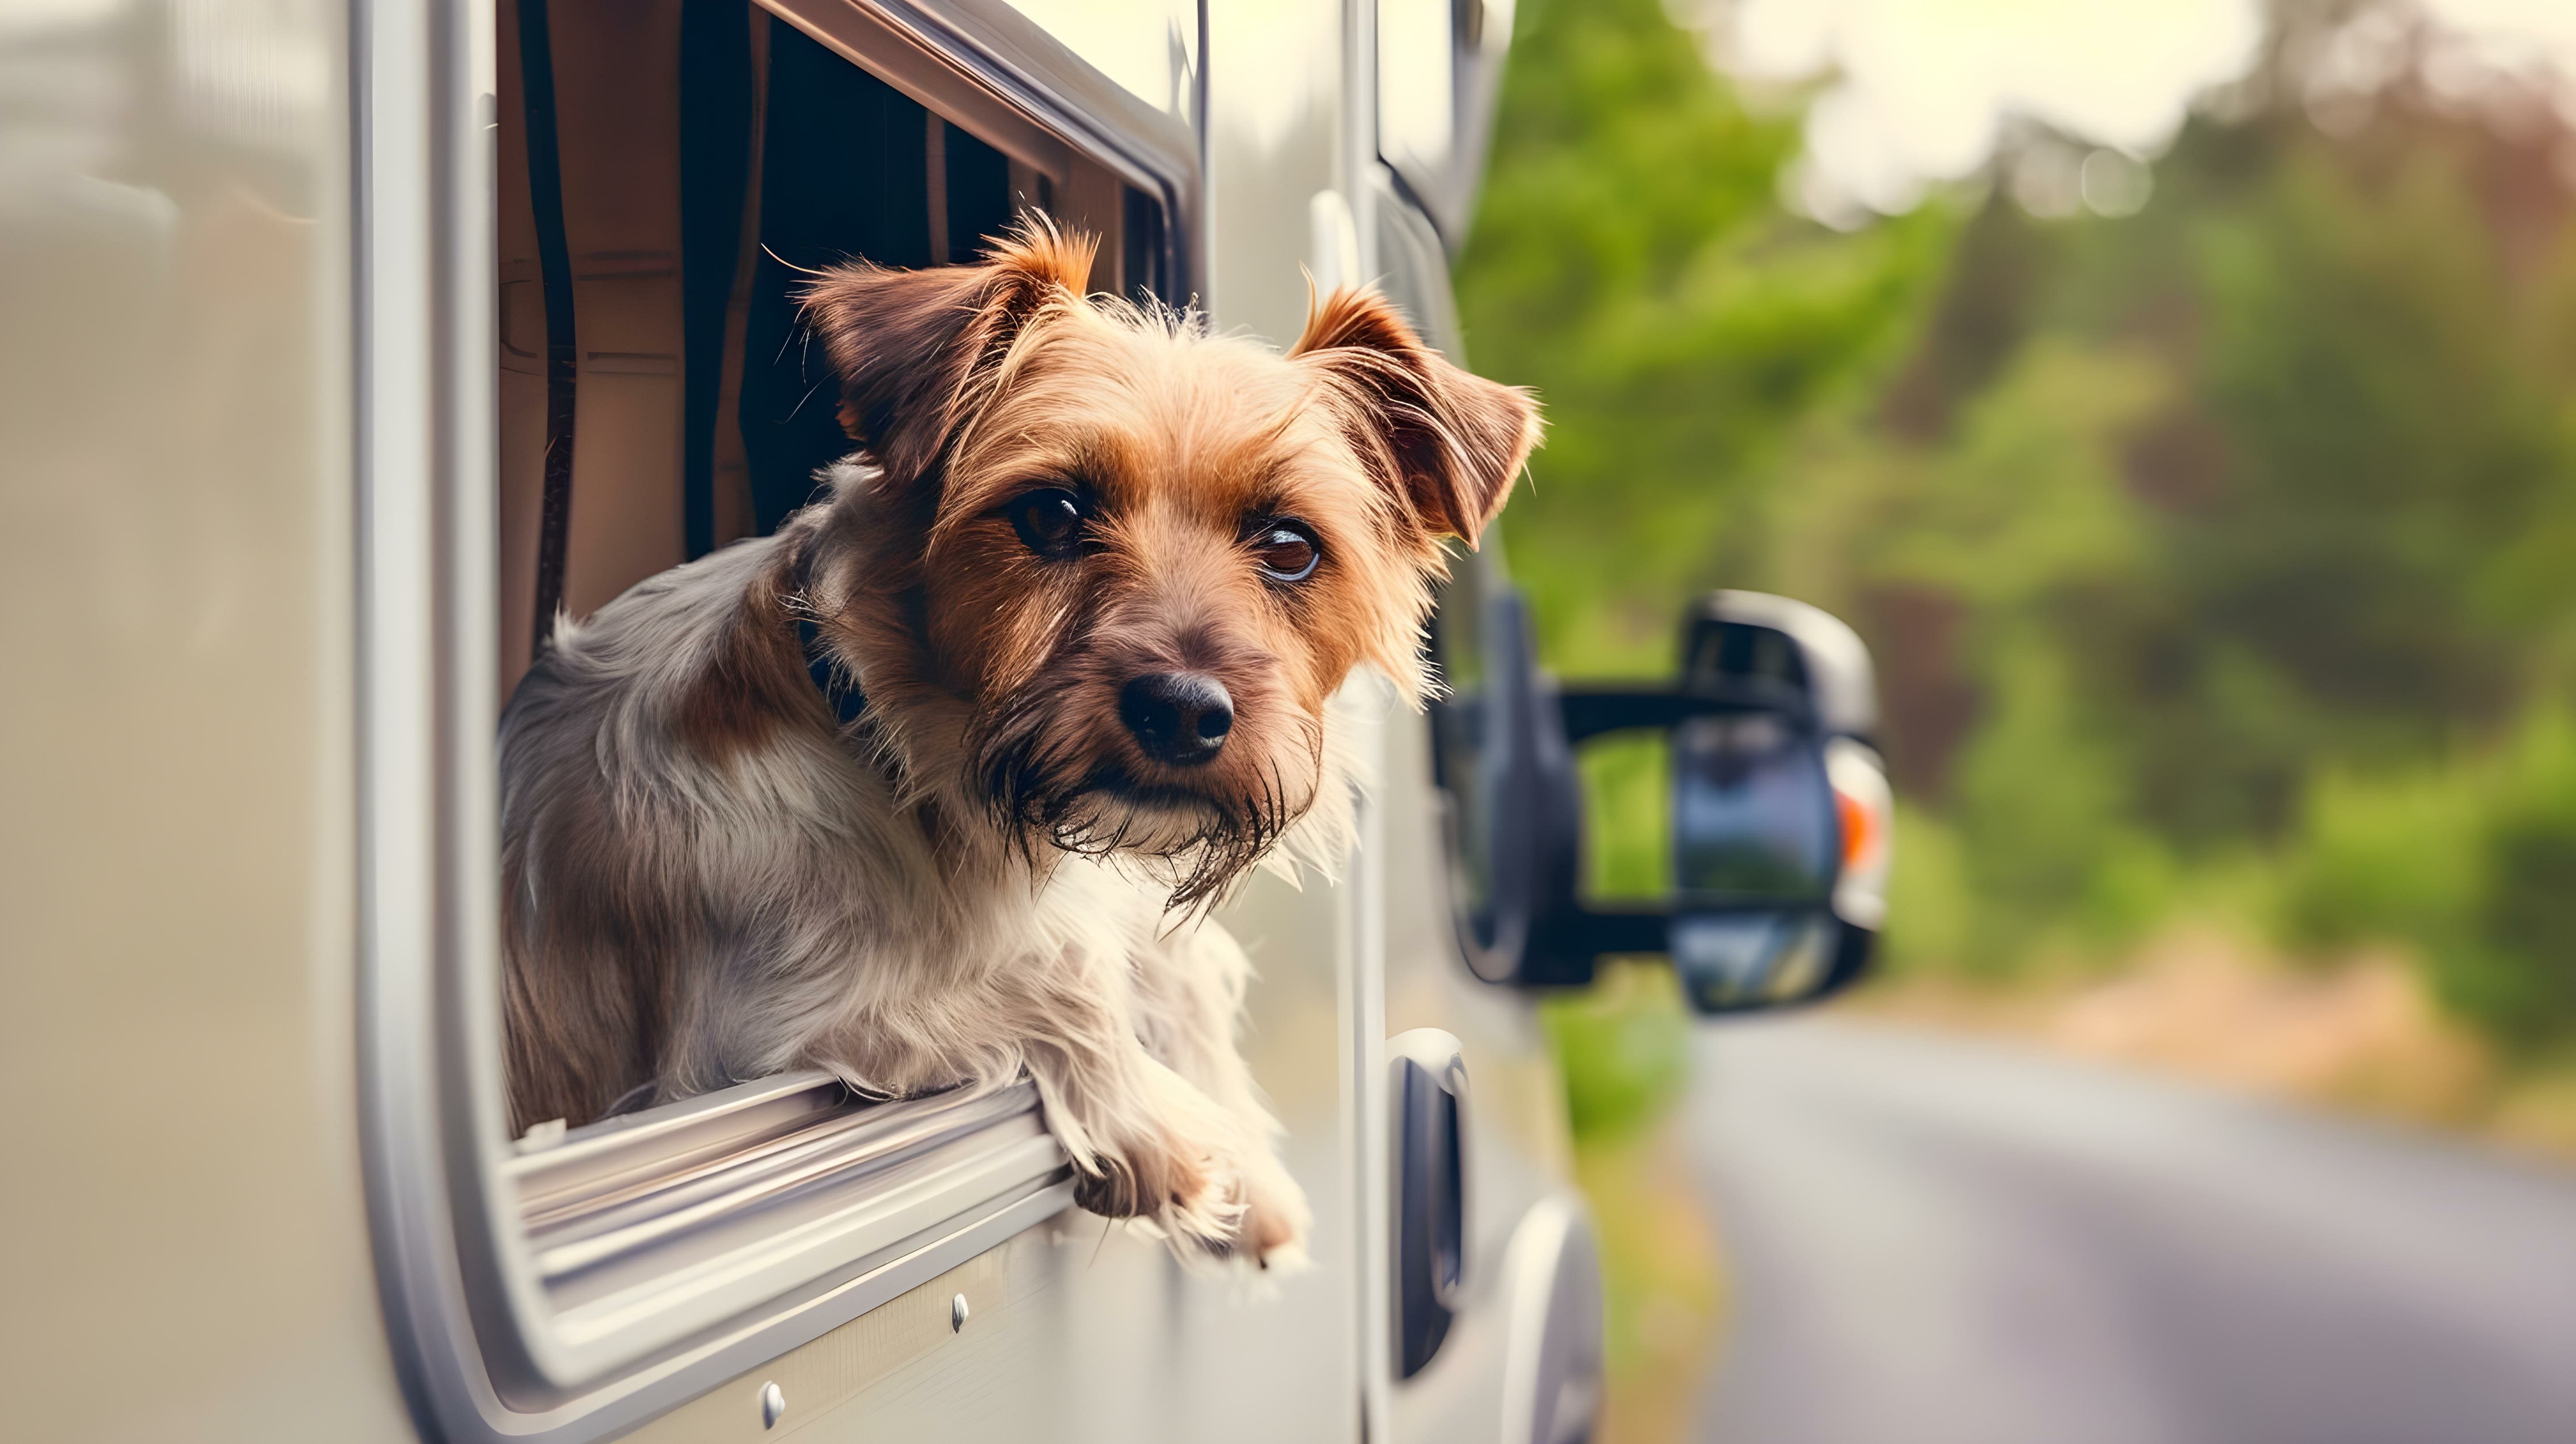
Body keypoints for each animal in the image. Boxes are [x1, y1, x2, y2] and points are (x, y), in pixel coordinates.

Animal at [505, 226, 1545, 1264]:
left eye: (1291, 546)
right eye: (1050, 513)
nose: (1181, 711)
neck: (893, 745)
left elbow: (1157, 958)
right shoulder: (752, 1034)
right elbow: (1056, 974)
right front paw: (1163, 1124)